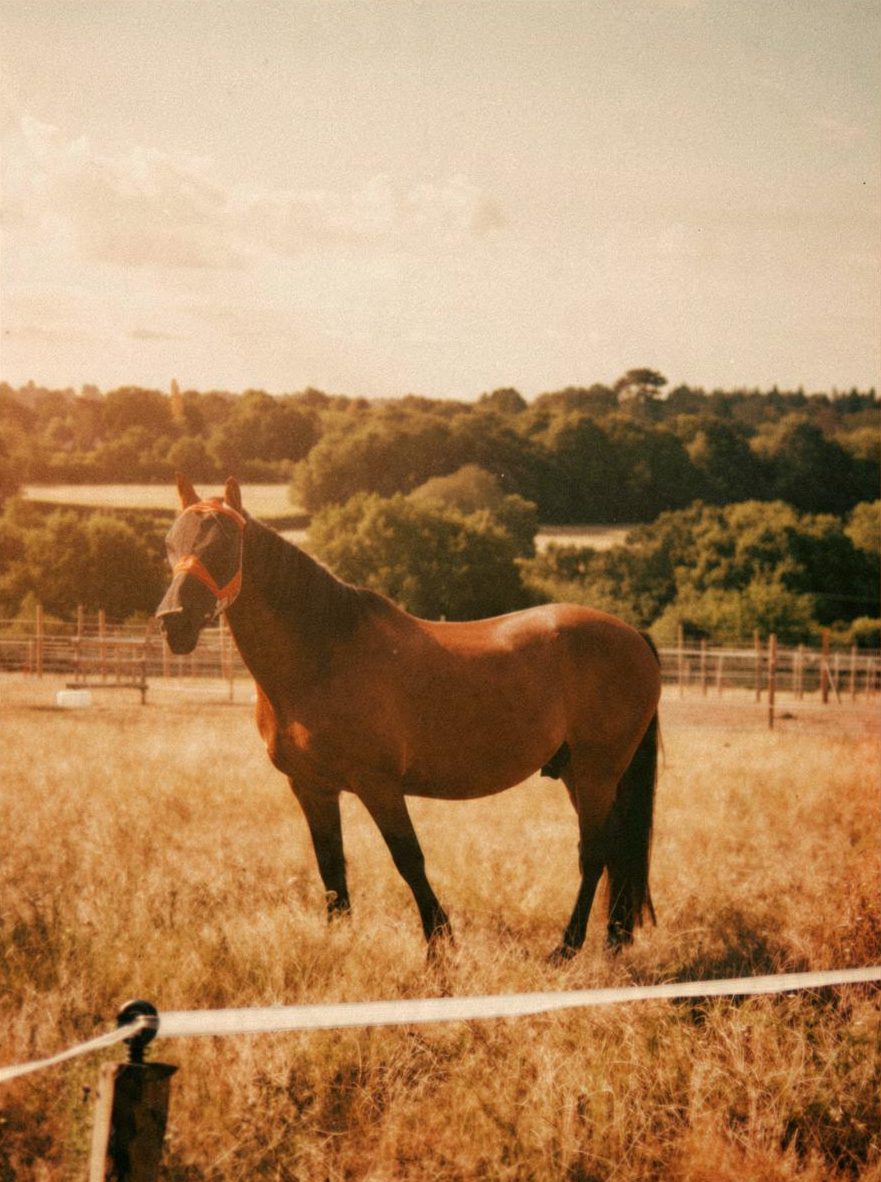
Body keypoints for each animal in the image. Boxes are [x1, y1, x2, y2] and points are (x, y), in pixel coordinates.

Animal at [156, 476, 661, 960]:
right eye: (170, 544)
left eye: (223, 545)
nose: (173, 621)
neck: (322, 656)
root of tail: (632, 635)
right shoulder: (312, 788)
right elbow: (331, 866)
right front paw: (341, 940)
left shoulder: (378, 784)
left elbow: (408, 860)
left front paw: (440, 946)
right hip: (581, 773)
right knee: (615, 850)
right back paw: (614, 941)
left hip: (596, 771)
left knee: (593, 853)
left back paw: (566, 948)